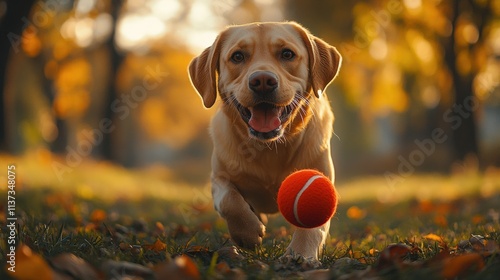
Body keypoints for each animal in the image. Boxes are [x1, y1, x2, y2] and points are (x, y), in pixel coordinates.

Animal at [188, 20, 340, 262]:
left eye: (287, 54)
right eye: (237, 56)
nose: (262, 81)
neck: (269, 149)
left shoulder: (322, 177)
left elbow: (313, 224)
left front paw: (299, 254)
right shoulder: (219, 178)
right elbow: (230, 200)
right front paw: (248, 233)